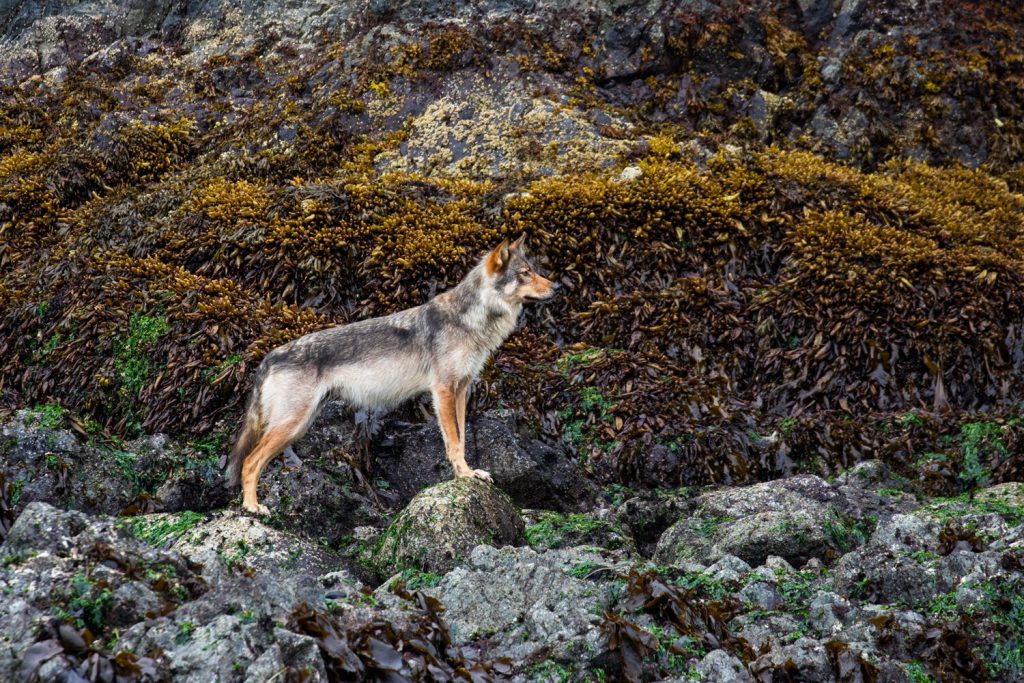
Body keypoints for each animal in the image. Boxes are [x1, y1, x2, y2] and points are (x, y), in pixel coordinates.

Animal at [227, 235, 557, 511]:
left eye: (534, 270)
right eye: (525, 273)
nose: (557, 288)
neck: (470, 320)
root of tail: (270, 356)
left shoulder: (462, 389)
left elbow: (461, 439)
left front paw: (466, 472)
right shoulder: (443, 390)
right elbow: (453, 440)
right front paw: (464, 475)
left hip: (297, 426)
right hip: (291, 425)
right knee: (250, 462)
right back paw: (252, 508)